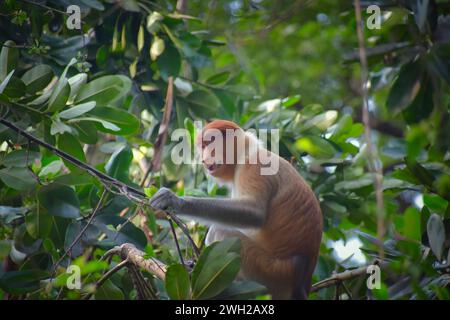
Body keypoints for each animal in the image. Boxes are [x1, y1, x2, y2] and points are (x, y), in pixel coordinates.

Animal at [151, 120, 324, 300]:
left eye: (208, 144)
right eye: (202, 147)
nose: (204, 160)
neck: (246, 153)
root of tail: (301, 282)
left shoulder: (254, 166)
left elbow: (254, 212)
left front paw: (174, 200)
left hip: (273, 272)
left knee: (220, 232)